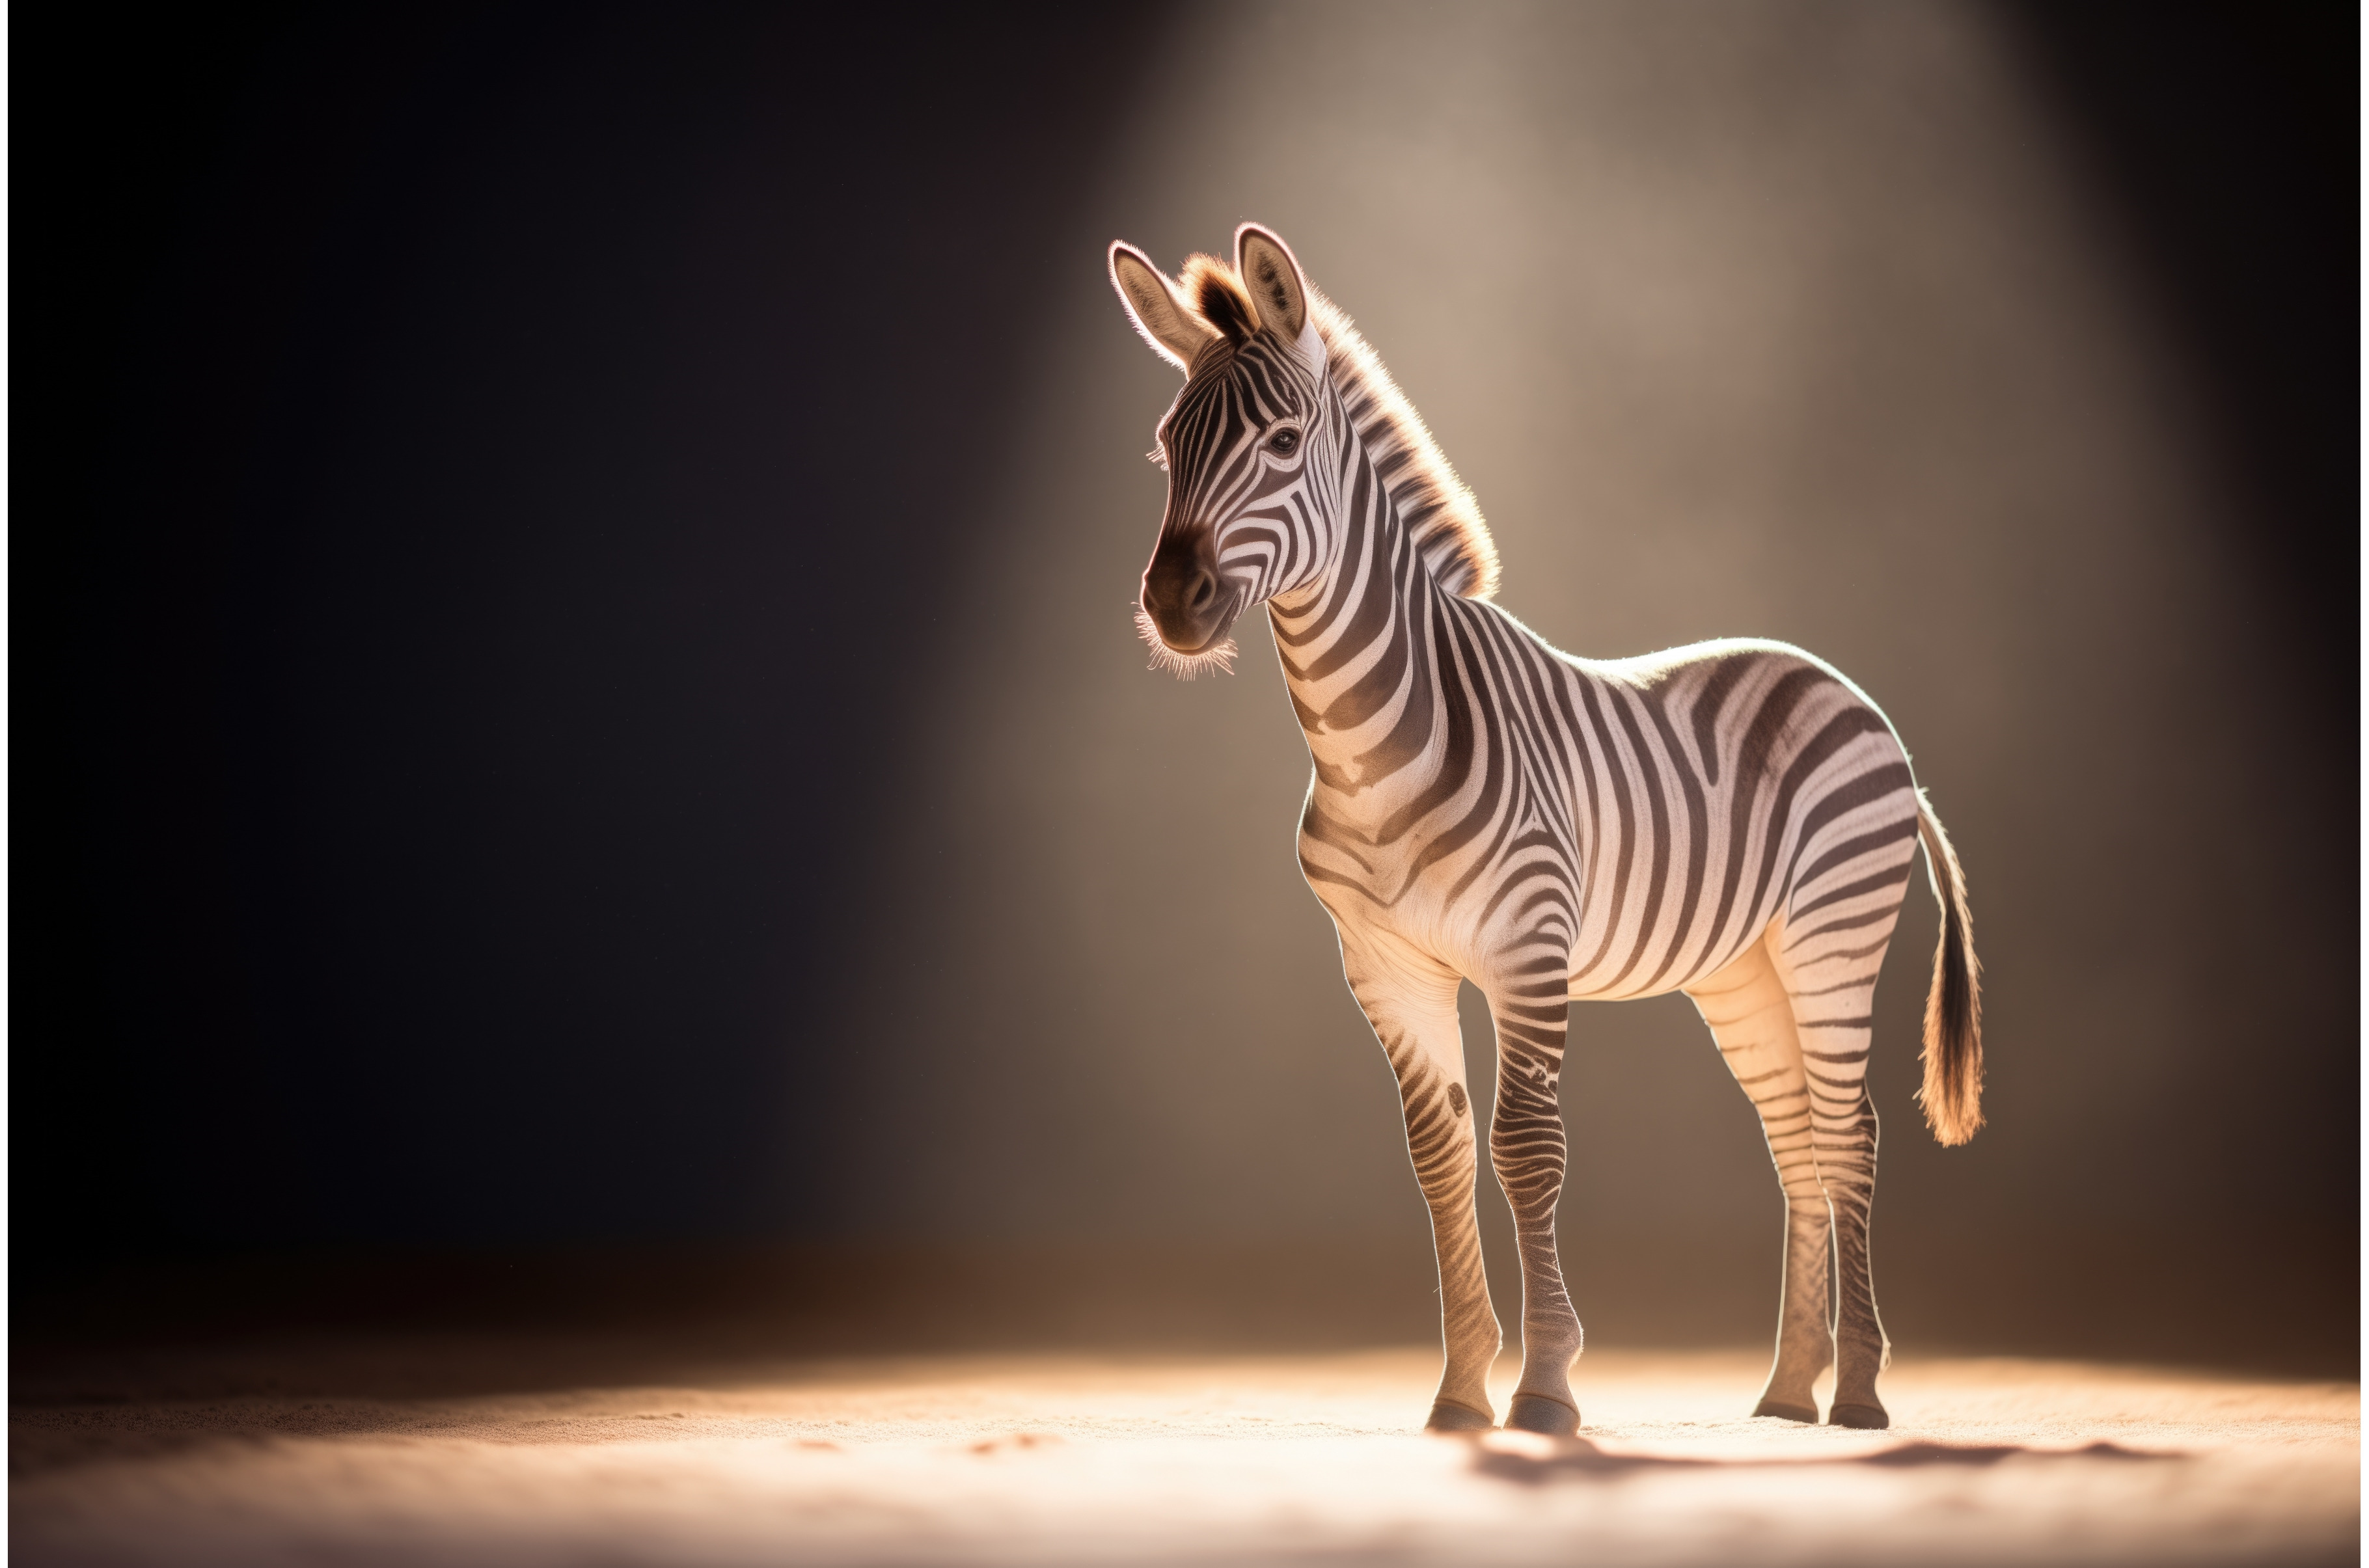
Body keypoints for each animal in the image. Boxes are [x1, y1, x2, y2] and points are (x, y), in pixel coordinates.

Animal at [1106, 224, 1983, 1437]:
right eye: (1164, 452)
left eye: (1281, 442)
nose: (1171, 605)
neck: (1369, 744)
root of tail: (1845, 690)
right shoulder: (1385, 967)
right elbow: (1438, 1159)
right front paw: (1461, 1387)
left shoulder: (1529, 947)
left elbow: (1525, 1148)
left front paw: (1546, 1383)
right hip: (1743, 971)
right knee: (1797, 1136)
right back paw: (1788, 1388)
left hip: (1832, 939)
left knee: (1850, 1134)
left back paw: (1856, 1390)